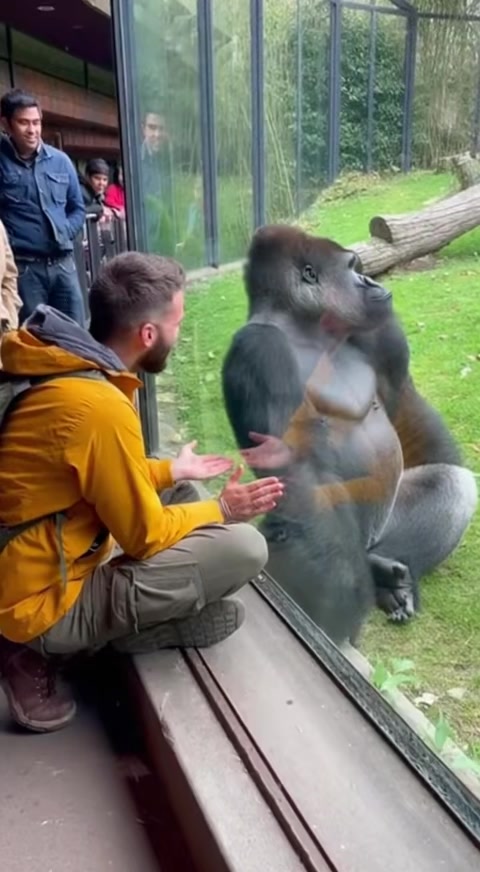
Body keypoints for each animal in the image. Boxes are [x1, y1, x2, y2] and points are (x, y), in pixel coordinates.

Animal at [221, 225, 477, 644]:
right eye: (352, 267)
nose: (372, 282)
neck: (304, 325)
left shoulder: (380, 331)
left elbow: (403, 406)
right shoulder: (259, 350)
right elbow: (297, 469)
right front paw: (340, 608)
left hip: (383, 528)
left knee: (450, 484)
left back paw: (385, 570)